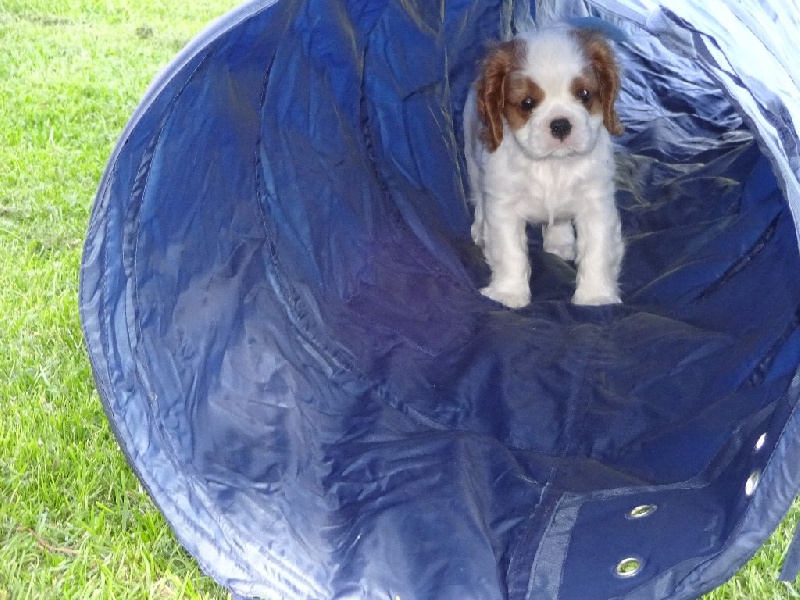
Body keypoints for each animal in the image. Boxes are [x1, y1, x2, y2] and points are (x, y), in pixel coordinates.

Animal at [464, 24, 625, 308]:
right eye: (527, 103)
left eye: (584, 95)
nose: (560, 124)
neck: (552, 164)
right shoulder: (503, 205)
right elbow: (510, 252)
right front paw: (509, 294)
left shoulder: (596, 203)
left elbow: (597, 250)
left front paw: (596, 296)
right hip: (472, 162)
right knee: (479, 199)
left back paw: (560, 243)